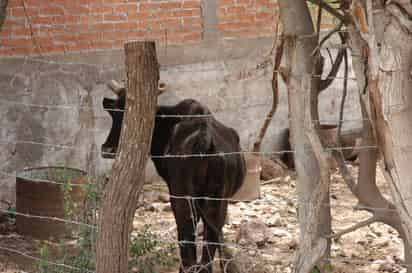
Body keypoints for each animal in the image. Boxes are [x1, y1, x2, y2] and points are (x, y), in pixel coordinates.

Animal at [102, 90, 245, 272]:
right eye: (114, 112)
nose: (107, 149)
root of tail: (203, 137)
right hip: (216, 198)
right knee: (211, 233)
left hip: (182, 194)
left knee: (186, 226)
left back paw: (186, 267)